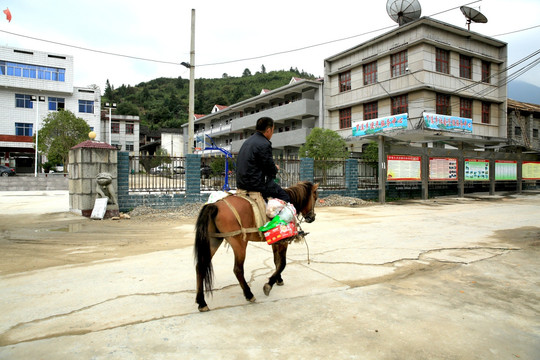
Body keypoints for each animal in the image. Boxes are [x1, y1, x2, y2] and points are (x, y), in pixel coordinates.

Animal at [196, 181, 318, 310]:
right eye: (315, 197)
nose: (312, 217)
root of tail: (215, 205)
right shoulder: (283, 242)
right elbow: (282, 264)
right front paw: (269, 284)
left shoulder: (275, 242)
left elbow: (276, 261)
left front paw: (278, 279)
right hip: (239, 244)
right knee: (238, 269)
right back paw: (249, 294)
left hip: (213, 241)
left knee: (200, 266)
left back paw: (201, 302)